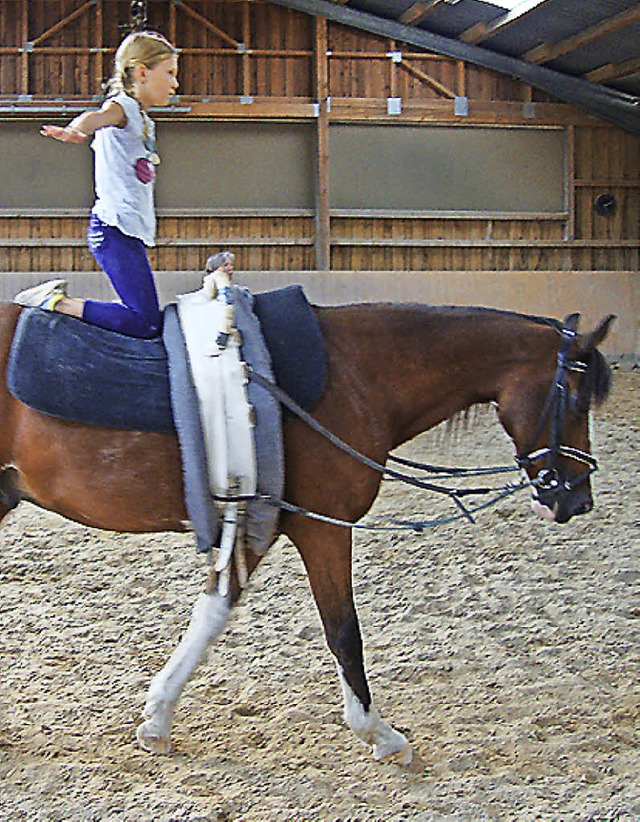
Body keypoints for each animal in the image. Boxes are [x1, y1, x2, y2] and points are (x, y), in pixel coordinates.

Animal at [0, 300, 612, 768]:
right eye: (577, 400)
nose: (576, 498)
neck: (358, 375)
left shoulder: (258, 521)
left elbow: (214, 608)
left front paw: (156, 720)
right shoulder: (324, 527)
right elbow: (344, 631)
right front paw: (379, 734)